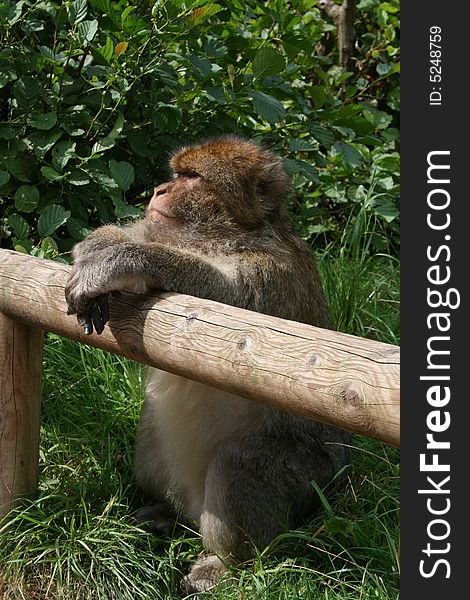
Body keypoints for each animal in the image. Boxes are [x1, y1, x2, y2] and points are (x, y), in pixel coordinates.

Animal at [67, 137, 352, 596]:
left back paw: (225, 564)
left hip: (314, 481)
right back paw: (164, 512)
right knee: (151, 433)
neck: (227, 234)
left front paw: (127, 258)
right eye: (177, 173)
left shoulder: (273, 272)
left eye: (193, 178)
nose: (160, 190)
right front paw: (99, 245)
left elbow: (229, 310)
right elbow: (136, 230)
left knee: (240, 461)